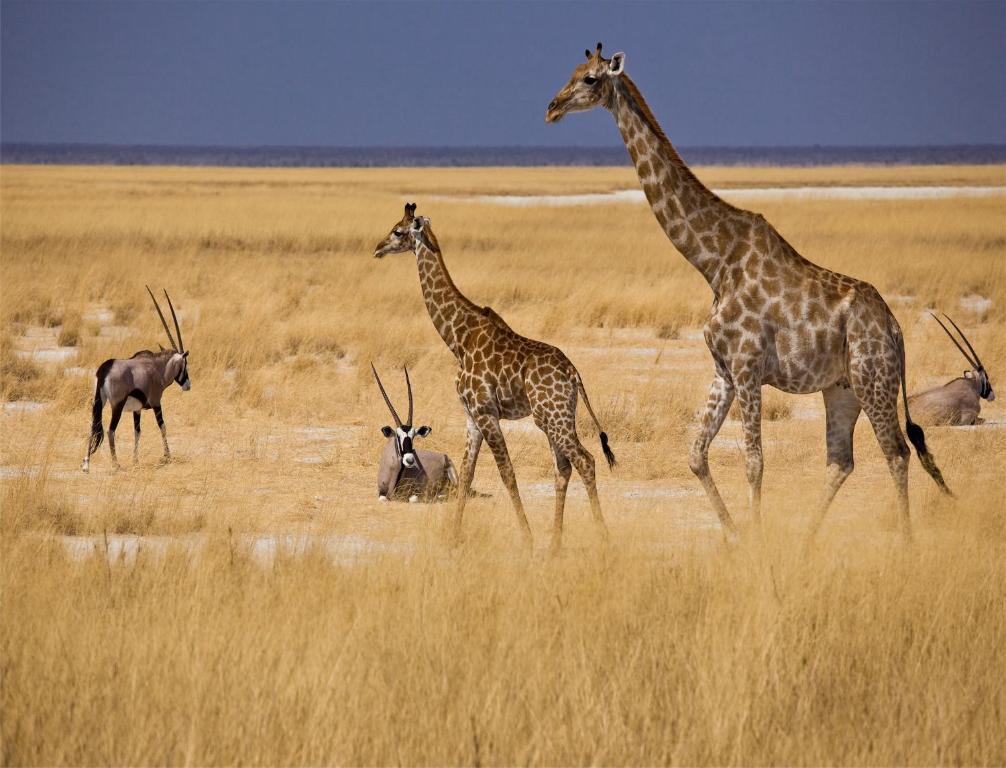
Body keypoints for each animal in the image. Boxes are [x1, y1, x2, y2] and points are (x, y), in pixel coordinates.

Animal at [376, 201, 615, 551]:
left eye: (397, 231)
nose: (377, 248)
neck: (458, 339)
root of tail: (575, 375)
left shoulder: (487, 412)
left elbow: (506, 473)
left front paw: (526, 537)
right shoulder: (471, 416)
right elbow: (467, 473)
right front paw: (454, 535)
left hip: (552, 416)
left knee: (585, 461)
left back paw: (601, 537)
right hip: (555, 417)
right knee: (563, 468)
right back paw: (555, 543)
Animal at [547, 40, 945, 535]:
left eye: (590, 79)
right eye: (571, 71)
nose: (552, 107)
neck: (714, 261)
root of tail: (895, 328)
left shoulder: (748, 366)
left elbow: (754, 462)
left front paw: (754, 537)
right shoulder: (724, 370)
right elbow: (696, 455)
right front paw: (736, 534)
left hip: (875, 378)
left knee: (897, 453)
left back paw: (904, 540)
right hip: (842, 387)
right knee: (842, 460)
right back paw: (807, 541)